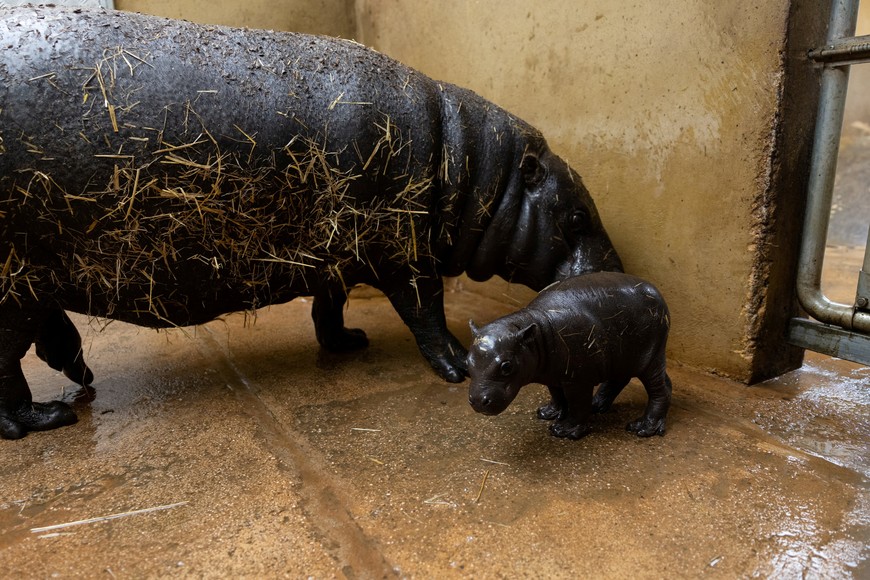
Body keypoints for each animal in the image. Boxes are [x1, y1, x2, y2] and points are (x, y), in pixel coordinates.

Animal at [0, 7, 622, 439]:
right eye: (575, 213)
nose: (618, 274)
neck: (473, 169)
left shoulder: (336, 252)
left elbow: (330, 303)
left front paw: (348, 344)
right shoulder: (405, 252)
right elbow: (425, 312)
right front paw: (456, 367)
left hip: (35, 283)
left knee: (47, 337)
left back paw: (80, 380)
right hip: (15, 283)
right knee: (8, 361)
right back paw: (44, 419)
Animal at [468, 272, 671, 439]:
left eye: (506, 366)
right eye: (467, 360)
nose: (477, 401)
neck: (537, 328)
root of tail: (655, 290)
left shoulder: (578, 380)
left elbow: (577, 404)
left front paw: (564, 430)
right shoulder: (553, 374)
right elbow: (557, 394)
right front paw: (548, 413)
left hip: (650, 357)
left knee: (660, 389)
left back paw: (642, 428)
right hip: (623, 357)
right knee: (622, 380)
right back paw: (597, 405)